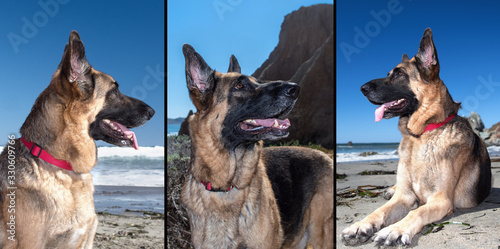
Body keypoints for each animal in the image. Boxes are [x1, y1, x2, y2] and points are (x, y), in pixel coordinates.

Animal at [180, 43, 332, 248]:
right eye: (240, 86)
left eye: (259, 81)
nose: (295, 89)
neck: (227, 186)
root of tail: (326, 156)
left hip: (320, 234)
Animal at [342, 28, 490, 246]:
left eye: (400, 74)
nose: (362, 88)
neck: (422, 135)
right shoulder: (404, 197)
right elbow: (379, 211)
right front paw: (360, 225)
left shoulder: (441, 200)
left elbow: (416, 212)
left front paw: (395, 229)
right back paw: (389, 189)